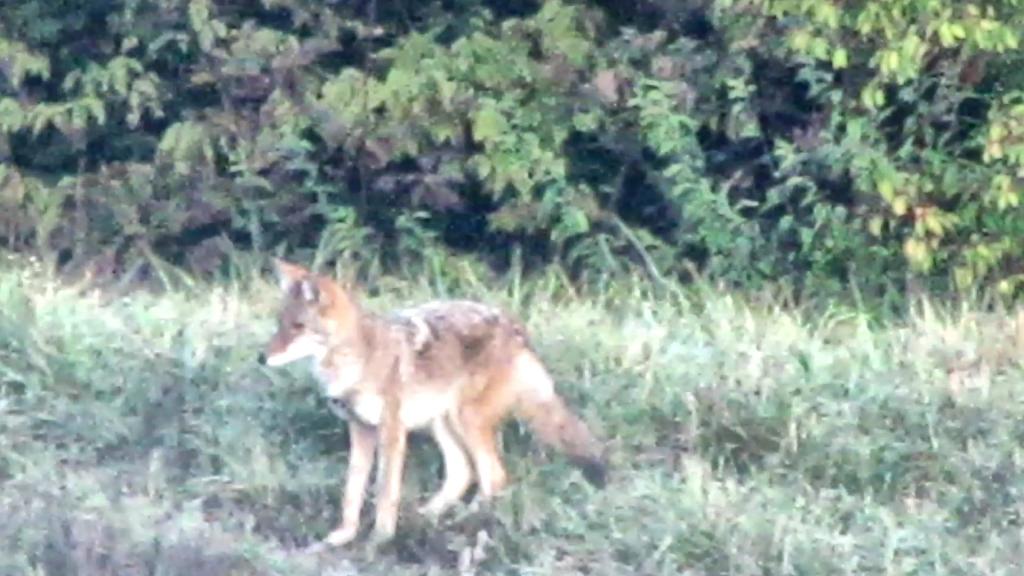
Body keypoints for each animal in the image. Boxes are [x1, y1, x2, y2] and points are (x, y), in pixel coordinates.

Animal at [257, 259, 608, 548]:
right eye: (279, 323)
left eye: (298, 327)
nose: (262, 358)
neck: (357, 359)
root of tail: (516, 329)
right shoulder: (360, 429)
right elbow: (351, 491)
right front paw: (343, 536)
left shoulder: (392, 431)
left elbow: (385, 491)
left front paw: (380, 539)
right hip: (442, 424)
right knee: (463, 473)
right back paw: (430, 517)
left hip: (465, 421)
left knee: (493, 476)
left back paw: (463, 521)